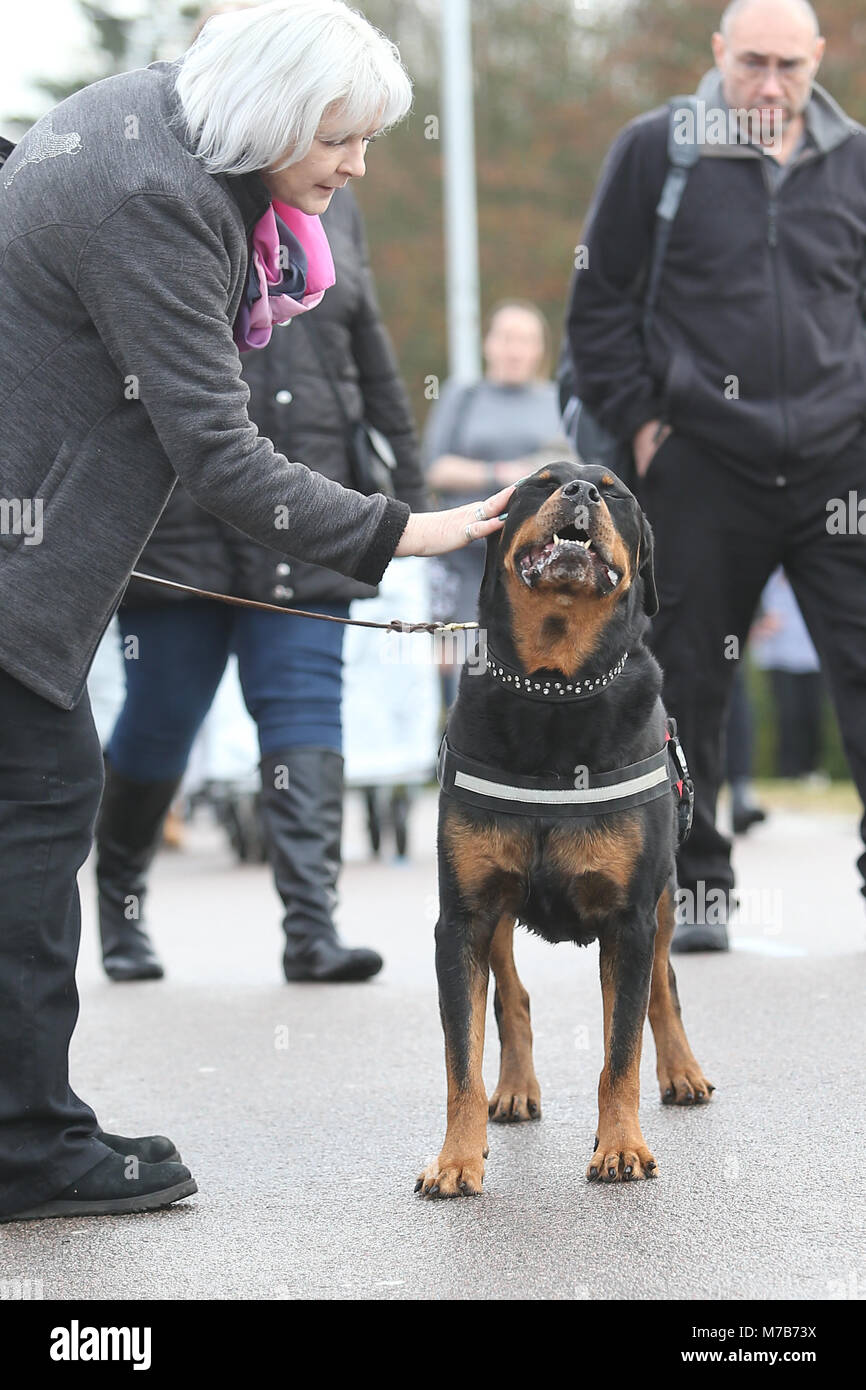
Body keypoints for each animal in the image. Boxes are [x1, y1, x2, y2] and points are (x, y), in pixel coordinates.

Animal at [419, 458, 711, 1195]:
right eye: (541, 482)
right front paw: (456, 1159)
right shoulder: (461, 916)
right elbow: (460, 1058)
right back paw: (515, 1089)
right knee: (511, 995)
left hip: (662, 896)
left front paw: (622, 1147)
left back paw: (683, 1072)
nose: (579, 492)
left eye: (615, 492)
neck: (554, 686)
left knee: (662, 987)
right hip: (495, 909)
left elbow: (621, 1047)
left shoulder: (629, 918)